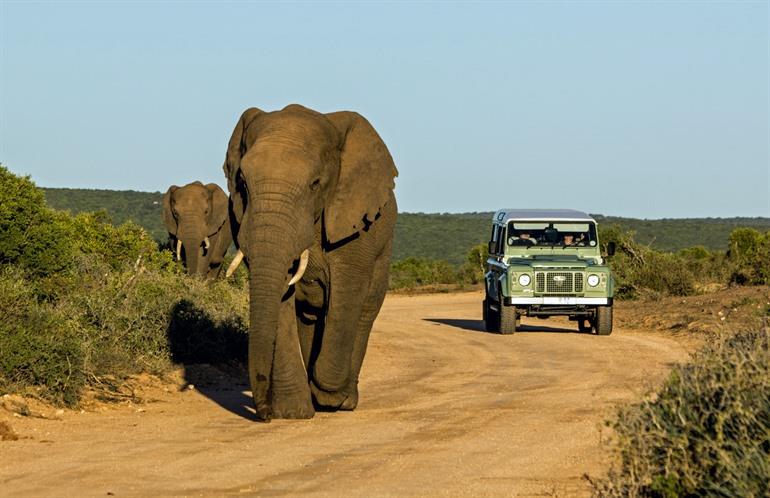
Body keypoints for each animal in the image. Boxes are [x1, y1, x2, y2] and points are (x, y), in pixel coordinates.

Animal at [223, 104, 398, 421]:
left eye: (315, 184)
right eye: (242, 183)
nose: (264, 413)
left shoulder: (354, 225)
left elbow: (347, 293)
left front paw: (329, 396)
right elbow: (281, 299)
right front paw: (293, 412)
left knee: (364, 310)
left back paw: (343, 401)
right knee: (309, 316)